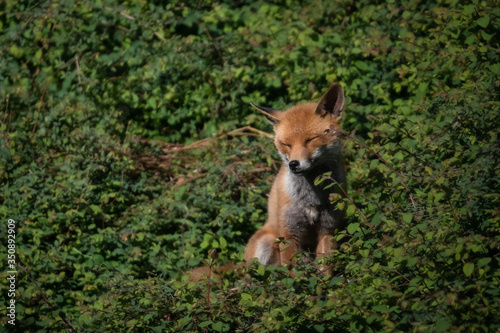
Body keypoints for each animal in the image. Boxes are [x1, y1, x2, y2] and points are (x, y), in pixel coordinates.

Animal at [188, 83, 348, 280]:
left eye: (310, 140)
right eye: (286, 144)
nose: (294, 164)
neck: (312, 198)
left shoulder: (328, 230)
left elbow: (326, 270)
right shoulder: (289, 233)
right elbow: (292, 273)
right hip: (265, 245)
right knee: (252, 276)